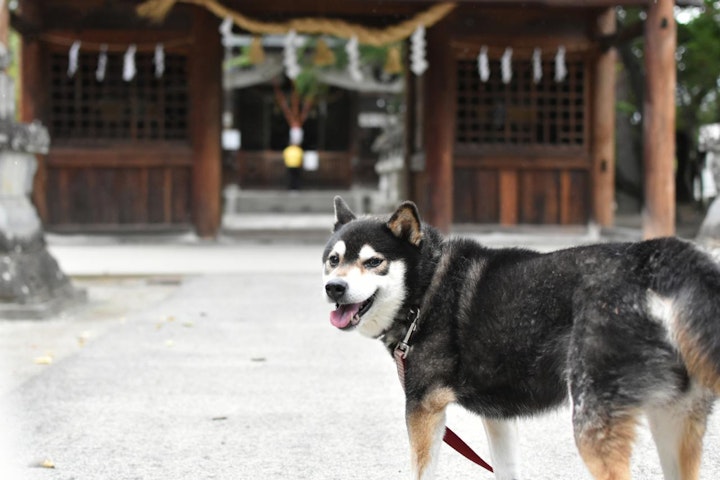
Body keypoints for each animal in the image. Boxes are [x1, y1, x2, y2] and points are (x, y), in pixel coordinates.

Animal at [324, 196, 720, 480]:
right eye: (333, 260)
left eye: (373, 262)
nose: (334, 288)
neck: (428, 288)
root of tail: (651, 259)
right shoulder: (498, 416)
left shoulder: (423, 407)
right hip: (672, 418)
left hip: (593, 421)